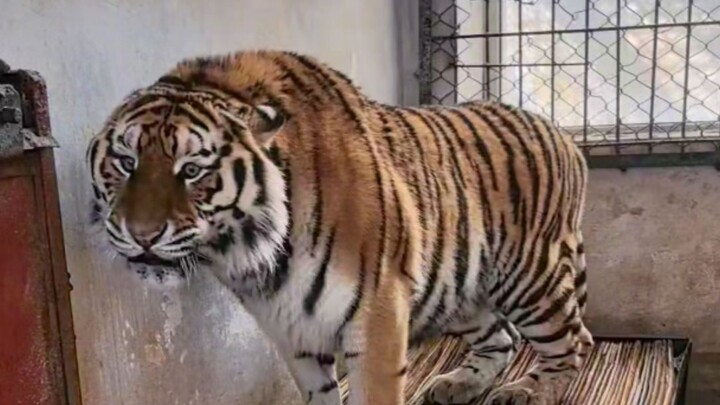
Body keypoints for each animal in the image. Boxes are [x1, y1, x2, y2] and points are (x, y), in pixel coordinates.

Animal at [86, 50, 593, 405]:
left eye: (191, 170)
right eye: (126, 162)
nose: (142, 234)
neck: (248, 252)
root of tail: (564, 134)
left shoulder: (379, 312)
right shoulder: (291, 328)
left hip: (532, 278)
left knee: (573, 344)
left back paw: (527, 391)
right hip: (461, 287)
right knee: (501, 340)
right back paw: (459, 384)